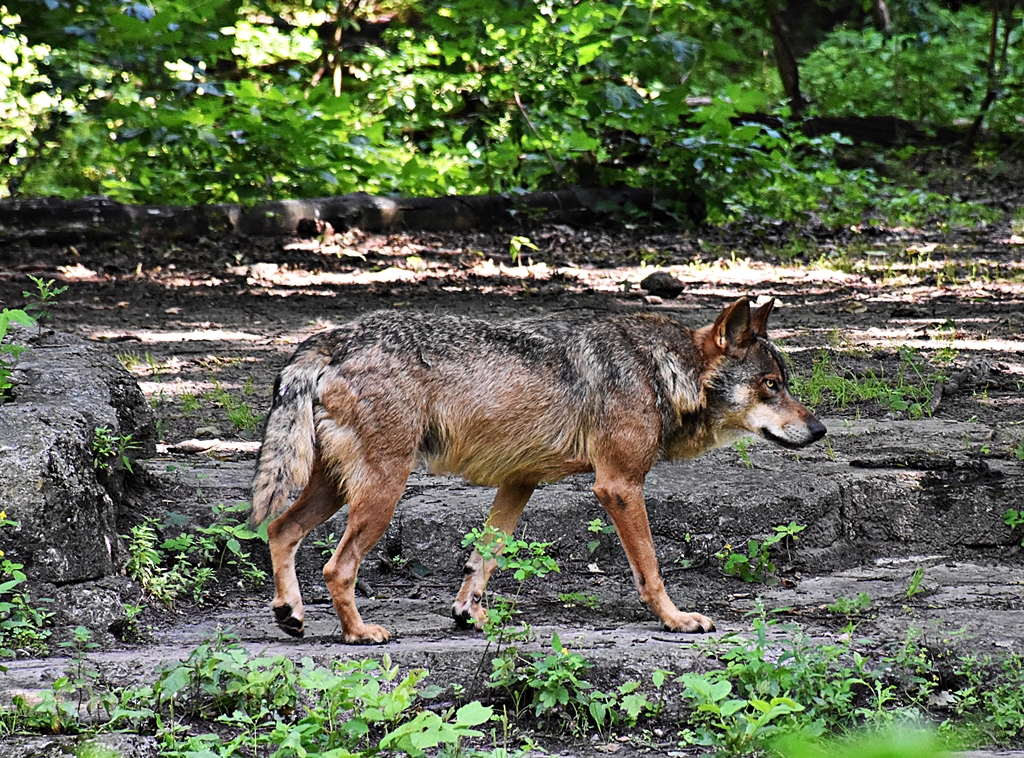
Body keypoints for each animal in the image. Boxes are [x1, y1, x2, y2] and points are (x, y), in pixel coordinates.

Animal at [249, 297, 826, 644]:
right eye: (771, 385)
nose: (820, 429)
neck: (662, 370)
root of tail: (332, 338)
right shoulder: (618, 487)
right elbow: (651, 569)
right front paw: (676, 619)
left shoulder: (518, 483)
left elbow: (483, 559)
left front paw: (469, 615)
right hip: (383, 491)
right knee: (336, 566)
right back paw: (359, 633)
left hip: (336, 489)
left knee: (279, 531)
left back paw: (290, 614)